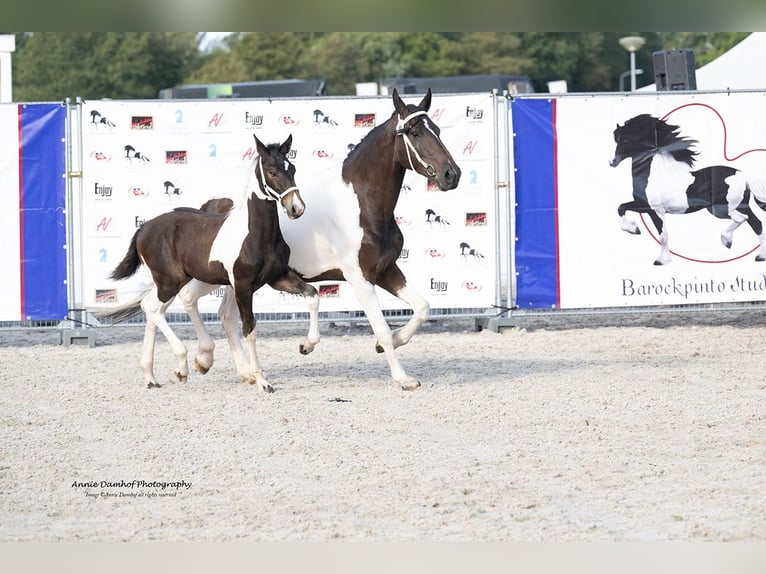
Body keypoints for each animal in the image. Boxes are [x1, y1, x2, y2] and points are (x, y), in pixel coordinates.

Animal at [103, 136, 320, 392]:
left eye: (292, 169)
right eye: (272, 171)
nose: (296, 208)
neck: (257, 234)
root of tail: (143, 228)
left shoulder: (277, 278)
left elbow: (312, 294)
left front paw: (306, 346)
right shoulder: (243, 285)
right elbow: (249, 329)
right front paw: (263, 381)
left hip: (177, 281)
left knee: (153, 306)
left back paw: (153, 375)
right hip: (170, 281)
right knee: (154, 308)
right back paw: (183, 365)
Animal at [186, 90, 462, 394]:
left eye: (437, 130)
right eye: (414, 132)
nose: (452, 174)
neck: (361, 206)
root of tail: (211, 205)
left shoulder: (386, 269)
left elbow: (422, 308)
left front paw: (384, 343)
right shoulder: (359, 278)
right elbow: (381, 327)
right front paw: (403, 378)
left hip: (235, 282)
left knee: (224, 315)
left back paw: (244, 373)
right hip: (213, 277)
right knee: (185, 301)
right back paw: (200, 362)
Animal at [612, 113, 766, 266]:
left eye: (626, 139)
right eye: (616, 139)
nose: (612, 161)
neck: (654, 174)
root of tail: (743, 175)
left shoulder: (656, 210)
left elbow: (663, 235)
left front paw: (661, 260)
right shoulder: (644, 207)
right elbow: (621, 207)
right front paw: (634, 229)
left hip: (723, 209)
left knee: (743, 219)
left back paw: (727, 241)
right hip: (739, 206)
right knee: (756, 223)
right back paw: (760, 256)